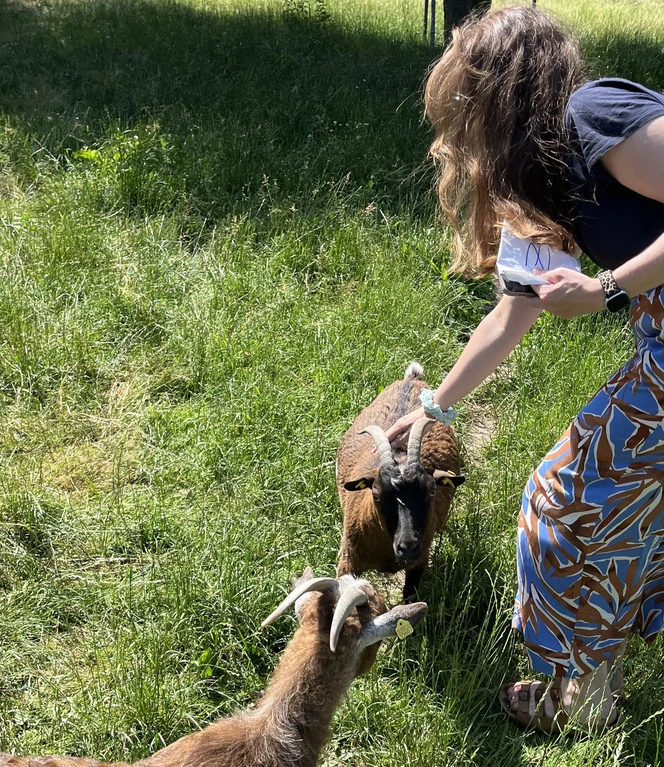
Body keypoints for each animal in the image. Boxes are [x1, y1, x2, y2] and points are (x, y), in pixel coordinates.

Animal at [336, 362, 465, 602]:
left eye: (432, 491)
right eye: (376, 495)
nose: (408, 547)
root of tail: (411, 380)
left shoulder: (419, 563)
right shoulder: (348, 562)